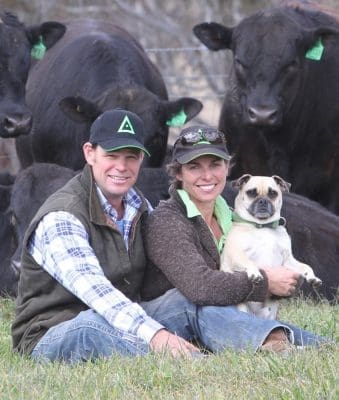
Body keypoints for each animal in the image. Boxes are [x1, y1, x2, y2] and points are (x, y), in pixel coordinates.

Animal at [222, 175, 322, 318]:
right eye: (251, 193)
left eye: (273, 193)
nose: (263, 201)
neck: (263, 226)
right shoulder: (236, 255)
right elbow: (248, 262)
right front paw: (255, 273)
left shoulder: (287, 260)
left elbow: (305, 266)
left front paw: (312, 277)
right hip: (242, 309)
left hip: (269, 312)